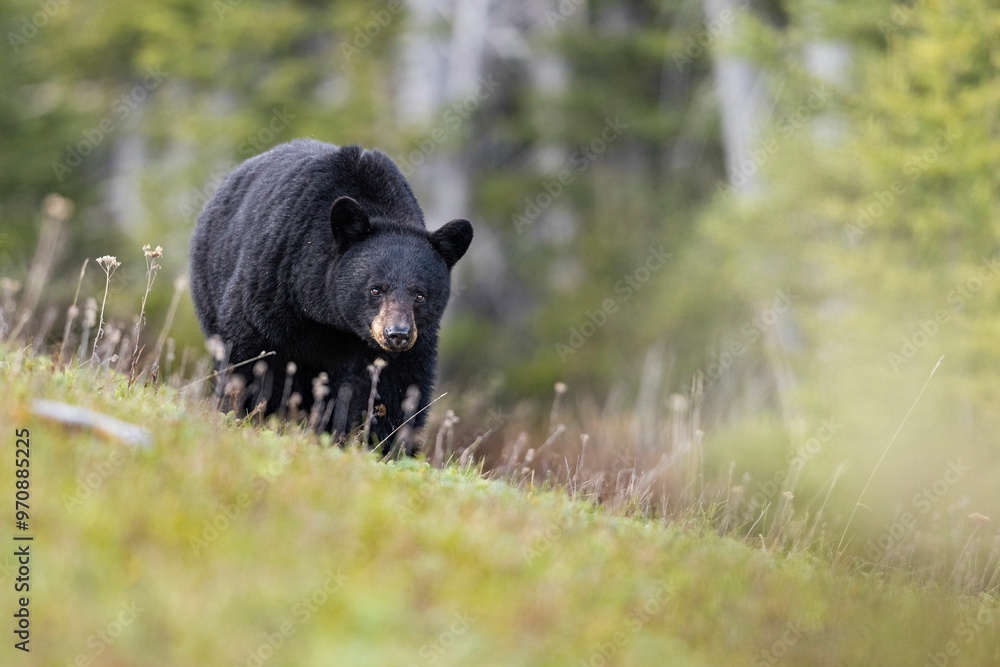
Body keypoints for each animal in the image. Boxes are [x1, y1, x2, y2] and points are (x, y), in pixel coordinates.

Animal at [189, 139, 473, 452]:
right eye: (376, 289)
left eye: (420, 295)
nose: (397, 334)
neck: (329, 317)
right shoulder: (275, 277)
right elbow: (250, 352)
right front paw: (242, 413)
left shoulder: (411, 340)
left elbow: (397, 385)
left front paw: (384, 444)